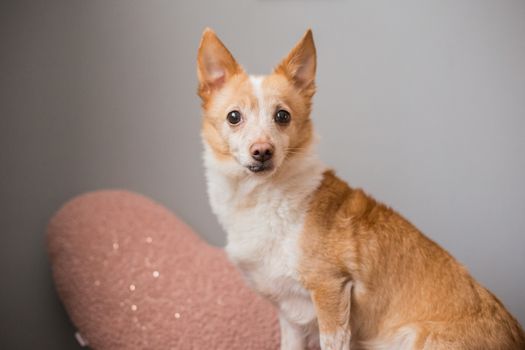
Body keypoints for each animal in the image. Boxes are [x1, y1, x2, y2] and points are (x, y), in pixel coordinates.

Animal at [196, 28, 524, 348]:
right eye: (234, 117)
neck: (261, 196)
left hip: (414, 339)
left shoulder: (330, 291)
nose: (262, 152)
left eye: (282, 116)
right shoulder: (290, 315)